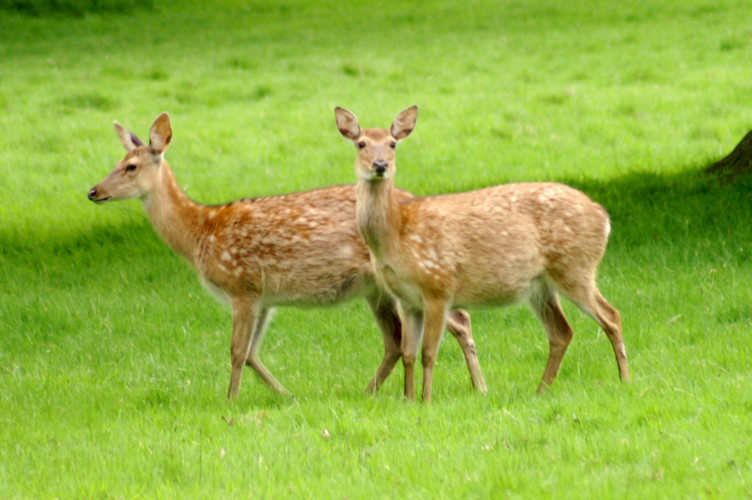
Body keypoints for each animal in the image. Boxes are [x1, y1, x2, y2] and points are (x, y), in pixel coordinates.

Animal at [87, 112, 487, 400]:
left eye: (131, 167)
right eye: (118, 161)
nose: (93, 191)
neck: (200, 233)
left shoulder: (242, 285)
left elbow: (236, 351)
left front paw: (230, 400)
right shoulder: (264, 297)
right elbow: (251, 353)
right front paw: (285, 395)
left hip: (400, 280)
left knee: (455, 319)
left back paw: (477, 387)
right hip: (378, 289)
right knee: (398, 340)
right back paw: (371, 392)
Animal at [335, 105, 631, 402]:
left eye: (392, 144)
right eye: (361, 143)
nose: (380, 165)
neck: (396, 237)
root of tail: (603, 217)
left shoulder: (438, 287)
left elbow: (428, 353)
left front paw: (426, 400)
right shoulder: (406, 299)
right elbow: (408, 353)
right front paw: (408, 399)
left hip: (575, 268)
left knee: (611, 316)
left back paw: (624, 379)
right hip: (540, 285)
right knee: (562, 332)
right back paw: (540, 391)